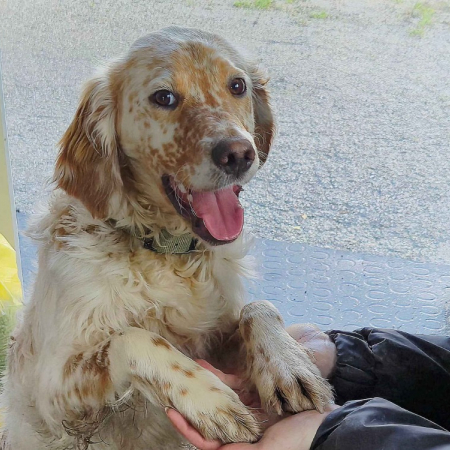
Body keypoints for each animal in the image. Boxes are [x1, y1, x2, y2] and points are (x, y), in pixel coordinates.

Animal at [1, 27, 333, 450]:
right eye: (164, 97)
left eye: (237, 85)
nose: (239, 154)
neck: (165, 254)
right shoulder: (52, 390)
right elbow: (132, 336)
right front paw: (211, 400)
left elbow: (257, 307)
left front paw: (289, 365)